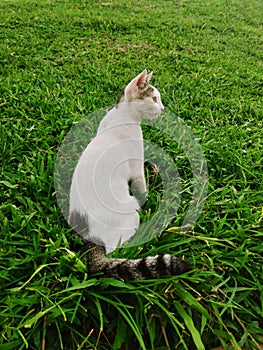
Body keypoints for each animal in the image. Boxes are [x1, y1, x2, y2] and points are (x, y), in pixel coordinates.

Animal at [68, 69, 192, 280]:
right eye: (154, 98)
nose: (163, 108)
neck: (121, 115)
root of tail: (89, 237)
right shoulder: (135, 167)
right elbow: (142, 188)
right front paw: (148, 201)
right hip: (130, 215)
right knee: (117, 249)